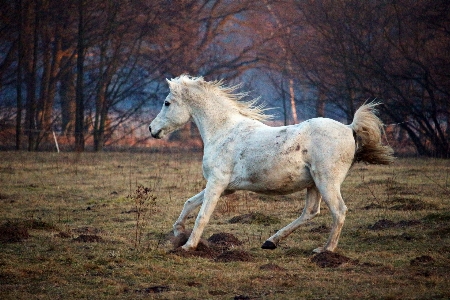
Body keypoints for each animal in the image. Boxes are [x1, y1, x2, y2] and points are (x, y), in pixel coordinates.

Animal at [149, 74, 394, 252]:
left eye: (167, 103)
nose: (152, 129)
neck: (224, 131)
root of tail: (349, 128)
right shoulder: (225, 187)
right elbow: (189, 203)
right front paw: (178, 233)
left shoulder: (217, 184)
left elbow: (202, 215)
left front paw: (188, 246)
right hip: (313, 184)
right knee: (310, 212)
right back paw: (271, 242)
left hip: (327, 182)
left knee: (339, 211)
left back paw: (325, 250)